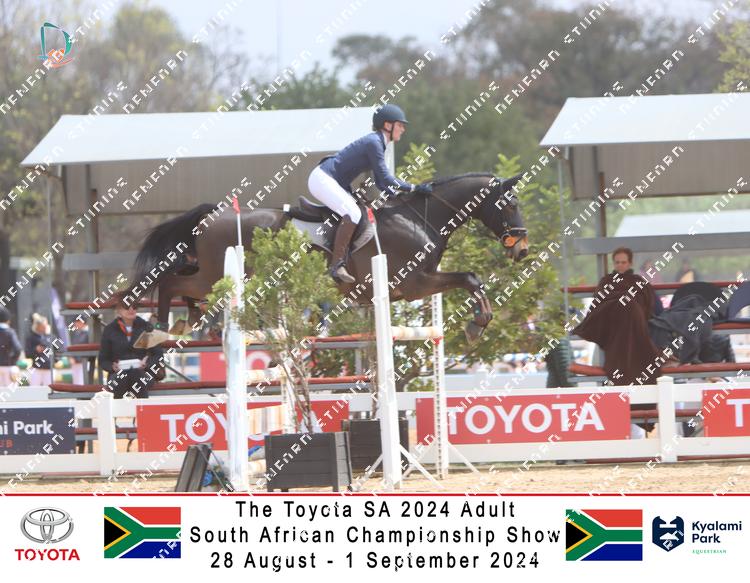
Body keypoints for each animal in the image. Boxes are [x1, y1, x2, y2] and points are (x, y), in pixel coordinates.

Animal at [125, 172, 529, 346]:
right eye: (510, 204)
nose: (522, 249)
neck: (418, 217)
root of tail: (213, 213)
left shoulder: (422, 281)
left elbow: (470, 278)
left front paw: (479, 322)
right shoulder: (413, 284)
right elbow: (471, 278)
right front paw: (478, 323)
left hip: (210, 275)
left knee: (181, 285)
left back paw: (187, 322)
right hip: (213, 274)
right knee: (171, 282)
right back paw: (157, 329)